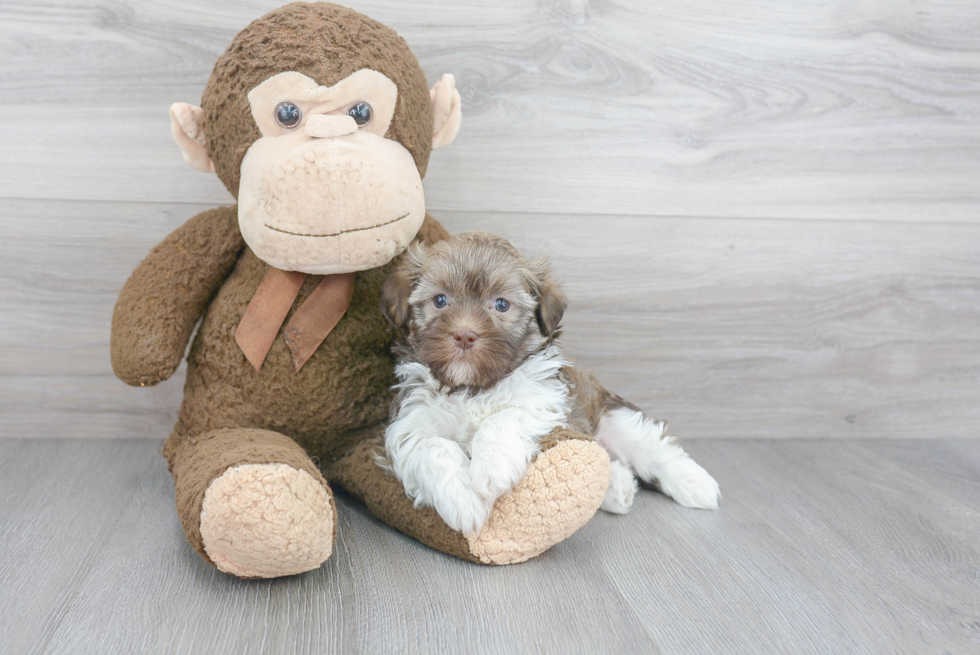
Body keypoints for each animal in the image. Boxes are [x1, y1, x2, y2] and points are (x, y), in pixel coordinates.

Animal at [378, 233, 716, 536]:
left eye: (501, 305)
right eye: (440, 300)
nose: (464, 334)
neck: (473, 387)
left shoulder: (546, 396)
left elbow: (506, 416)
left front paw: (491, 469)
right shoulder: (408, 421)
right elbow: (431, 445)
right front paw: (463, 499)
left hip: (611, 415)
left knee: (654, 448)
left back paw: (698, 485)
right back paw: (619, 486)